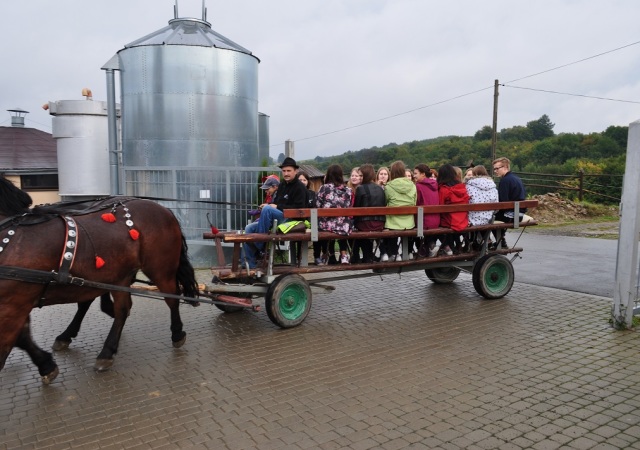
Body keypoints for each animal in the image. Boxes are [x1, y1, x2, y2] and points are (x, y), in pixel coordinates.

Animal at [0, 178, 198, 382]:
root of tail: (165, 210)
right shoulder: (16, 304)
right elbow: (21, 337)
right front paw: (46, 365)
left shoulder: (14, 304)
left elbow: (15, 339)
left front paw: (46, 365)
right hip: (118, 275)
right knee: (120, 308)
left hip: (160, 269)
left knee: (171, 297)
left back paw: (174, 334)